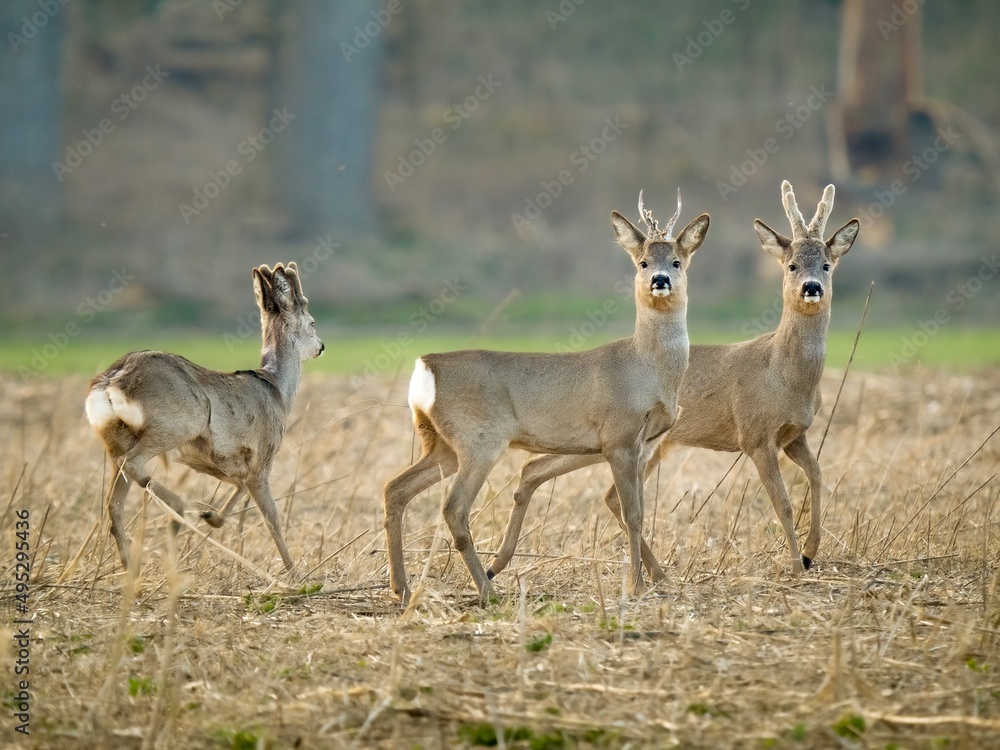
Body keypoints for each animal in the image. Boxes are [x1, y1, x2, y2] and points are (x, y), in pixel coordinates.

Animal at [85, 262, 324, 572]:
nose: (321, 347)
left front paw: (212, 518)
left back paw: (131, 565)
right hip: (176, 423)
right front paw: (294, 572)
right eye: (313, 322)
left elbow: (239, 488)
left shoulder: (229, 464)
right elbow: (272, 519)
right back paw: (178, 510)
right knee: (132, 464)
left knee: (113, 503)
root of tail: (112, 381)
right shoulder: (263, 457)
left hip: (115, 437)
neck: (278, 392)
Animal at [384, 192, 712, 604]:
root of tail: (425, 367)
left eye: (676, 261)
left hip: (441, 443)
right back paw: (487, 590)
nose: (660, 279)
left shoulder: (643, 443)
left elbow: (632, 511)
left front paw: (659, 579)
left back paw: (402, 587)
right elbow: (633, 513)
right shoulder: (619, 437)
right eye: (643, 262)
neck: (648, 368)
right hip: (479, 439)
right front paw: (635, 586)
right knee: (454, 508)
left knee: (395, 488)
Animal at [490, 181, 860, 580]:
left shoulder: (795, 434)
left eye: (826, 265)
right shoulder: (756, 435)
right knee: (576, 483)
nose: (811, 287)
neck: (784, 374)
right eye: (791, 265)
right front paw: (795, 567)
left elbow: (819, 476)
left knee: (555, 476)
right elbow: (785, 504)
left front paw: (809, 553)